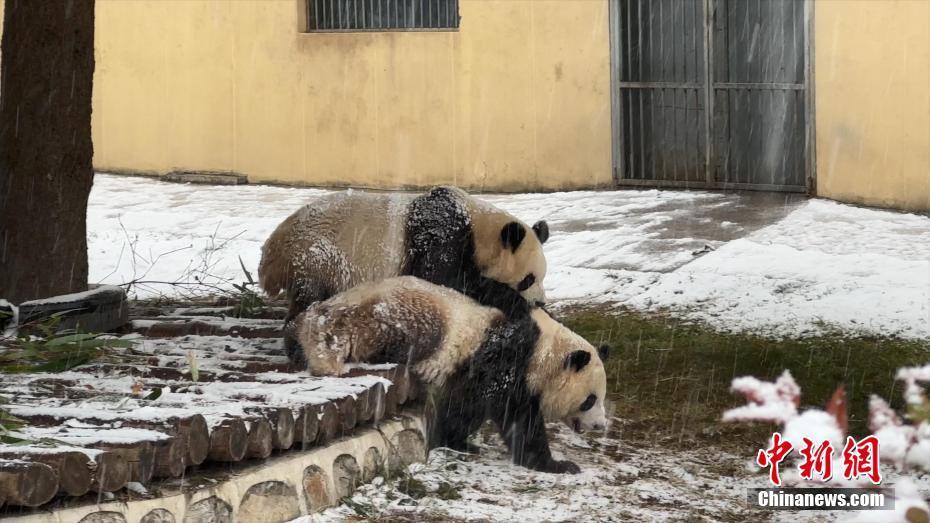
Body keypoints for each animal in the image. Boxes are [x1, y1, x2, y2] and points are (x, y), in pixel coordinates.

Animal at [258, 187, 548, 364]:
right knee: (309, 303)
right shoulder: (441, 234)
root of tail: (275, 246)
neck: (478, 227)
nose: (541, 301)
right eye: (529, 279)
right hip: (317, 258)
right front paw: (516, 303)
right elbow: (444, 277)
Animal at [292, 276, 608, 476]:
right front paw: (557, 465)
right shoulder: (507, 359)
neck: (544, 350)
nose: (600, 426)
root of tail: (323, 320)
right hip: (402, 313)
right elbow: (507, 412)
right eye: (590, 400)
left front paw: (457, 440)